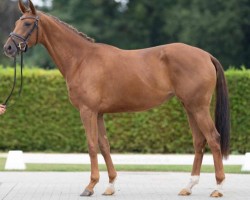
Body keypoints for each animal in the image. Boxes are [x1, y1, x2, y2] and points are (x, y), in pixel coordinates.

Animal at [3, 0, 229, 197]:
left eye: (27, 23)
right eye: (16, 22)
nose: (8, 48)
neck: (81, 59)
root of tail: (206, 55)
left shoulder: (87, 111)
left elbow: (91, 145)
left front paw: (90, 186)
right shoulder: (99, 113)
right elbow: (104, 146)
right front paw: (110, 185)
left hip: (198, 107)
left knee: (213, 138)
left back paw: (218, 188)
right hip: (189, 107)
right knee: (199, 141)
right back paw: (188, 187)